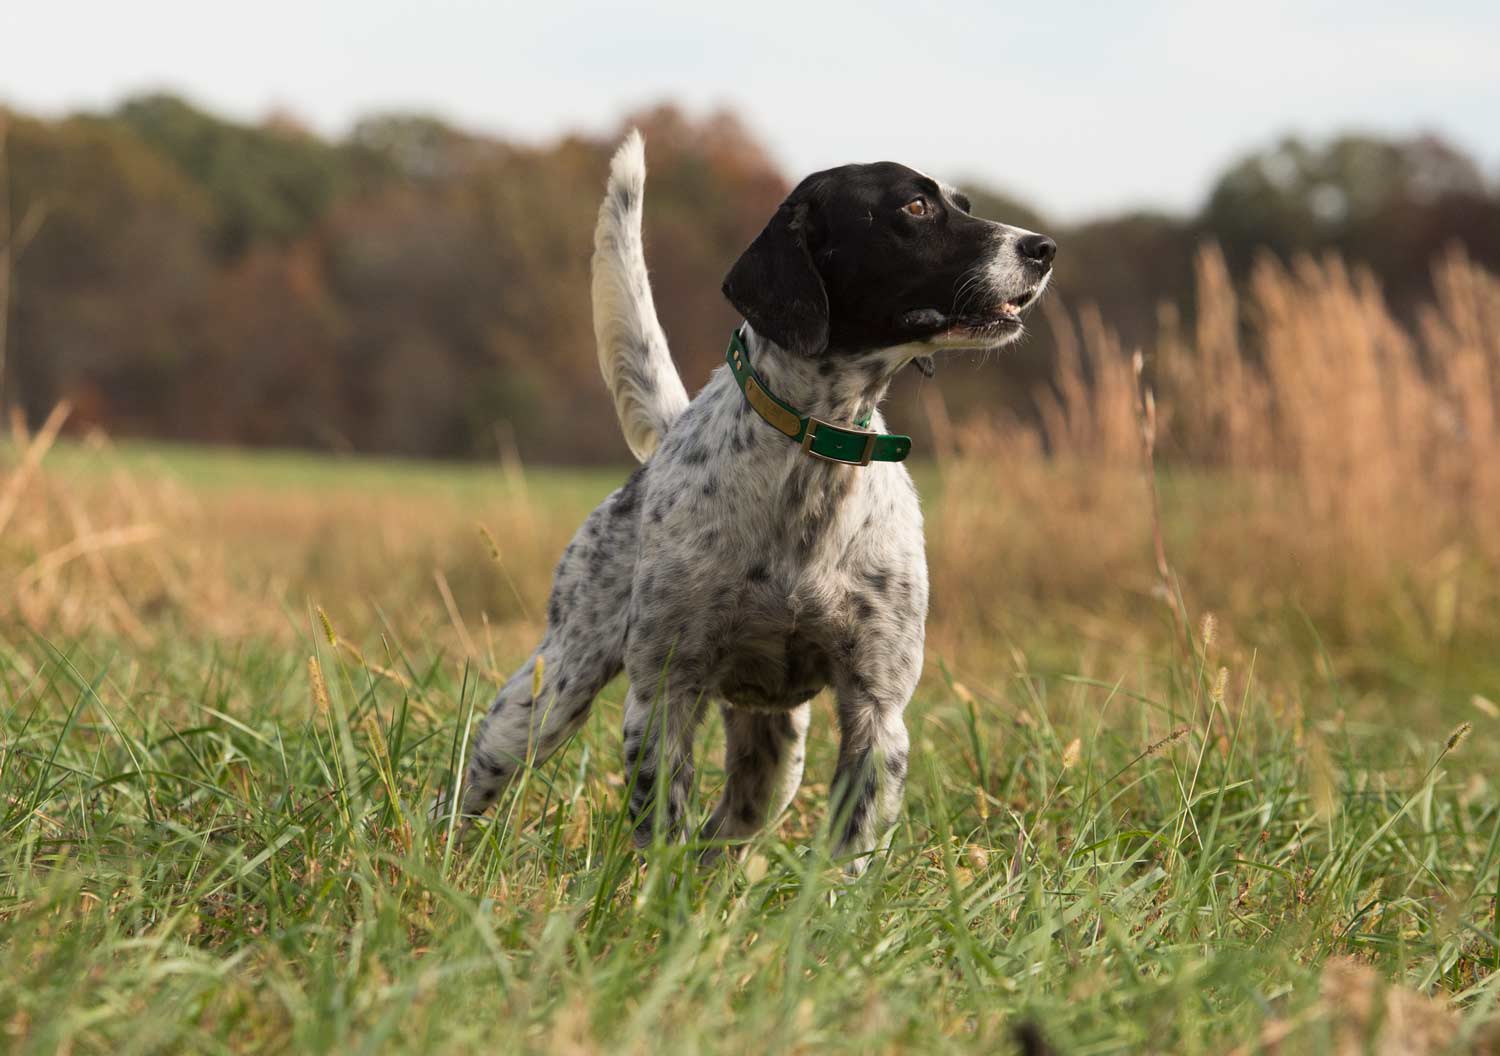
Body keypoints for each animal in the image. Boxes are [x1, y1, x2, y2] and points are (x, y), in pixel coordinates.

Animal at [445, 132, 1054, 872]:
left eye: (963, 205)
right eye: (915, 206)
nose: (1044, 247)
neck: (815, 456)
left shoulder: (877, 709)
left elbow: (847, 853)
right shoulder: (664, 693)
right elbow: (660, 832)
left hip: (776, 756)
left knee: (721, 834)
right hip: (550, 691)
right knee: (476, 781)